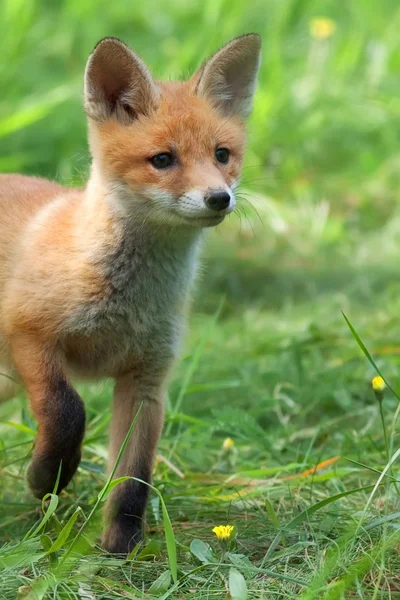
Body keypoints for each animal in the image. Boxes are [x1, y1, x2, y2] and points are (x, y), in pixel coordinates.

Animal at [0, 34, 262, 552]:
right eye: (163, 159)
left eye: (222, 155)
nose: (219, 198)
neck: (128, 304)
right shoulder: (28, 332)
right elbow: (67, 410)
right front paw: (46, 476)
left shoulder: (147, 380)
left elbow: (133, 479)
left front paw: (121, 548)